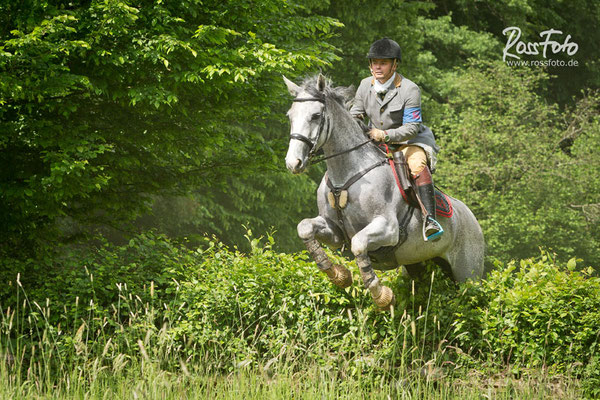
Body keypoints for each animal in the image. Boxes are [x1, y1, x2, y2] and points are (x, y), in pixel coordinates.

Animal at [284, 73, 486, 308]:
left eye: (316, 116)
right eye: (290, 116)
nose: (293, 163)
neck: (346, 176)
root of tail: (473, 219)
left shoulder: (388, 229)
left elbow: (359, 244)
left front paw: (381, 295)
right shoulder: (334, 231)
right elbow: (304, 227)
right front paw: (339, 275)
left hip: (468, 274)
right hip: (420, 265)